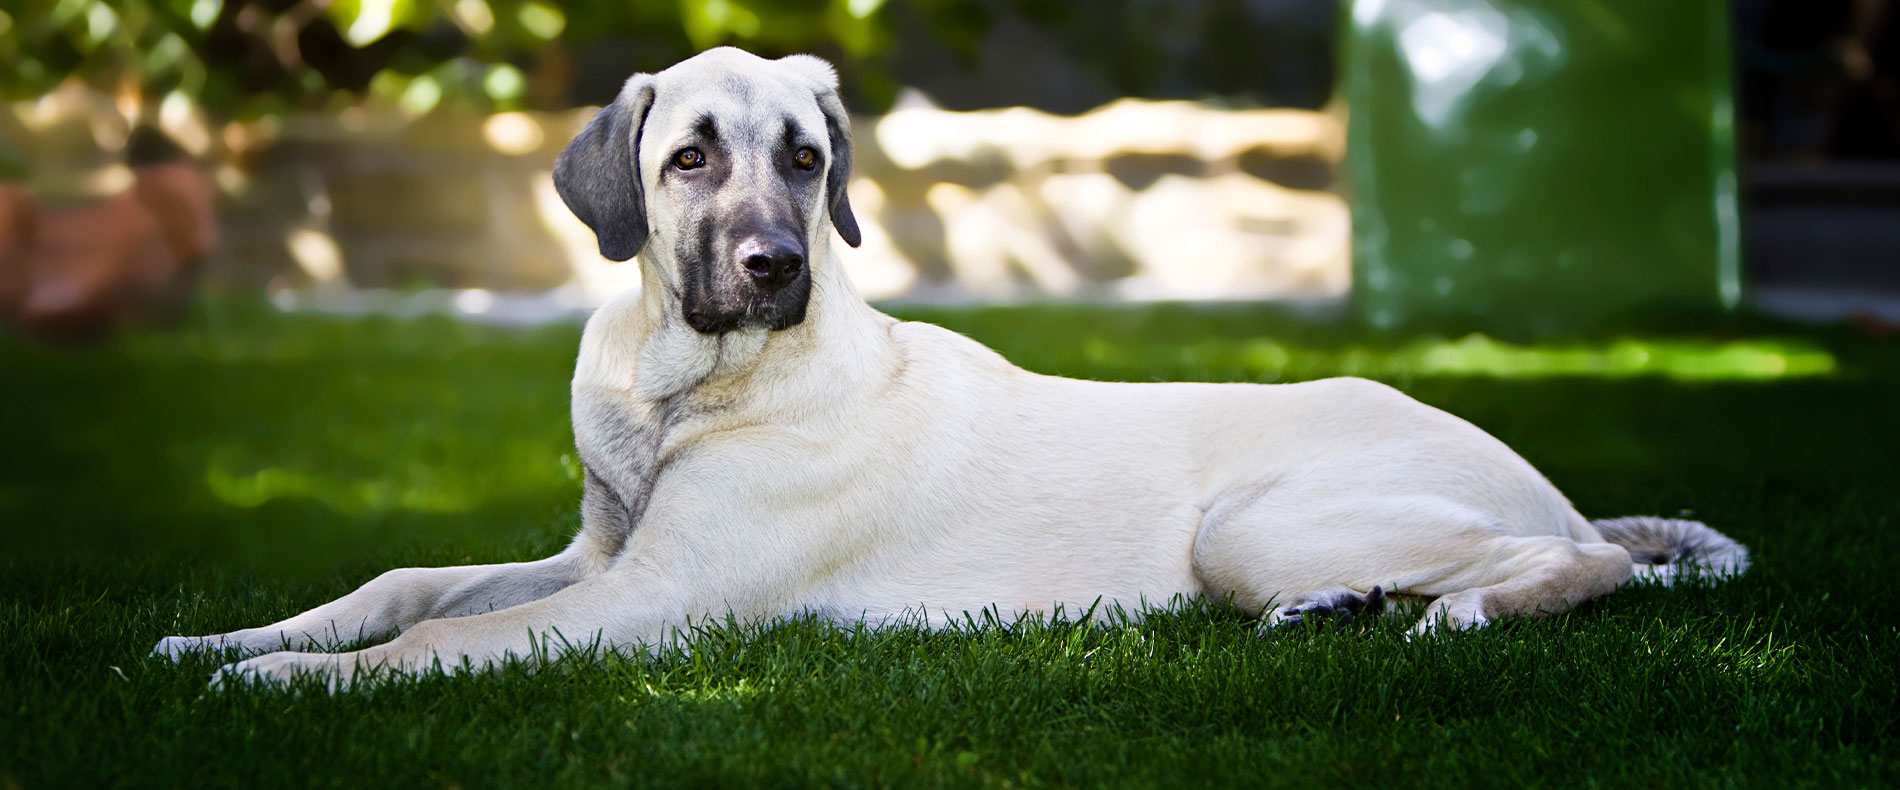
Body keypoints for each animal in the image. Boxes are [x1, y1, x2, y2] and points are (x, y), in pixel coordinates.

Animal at [152, 47, 1748, 683]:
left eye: (806, 159)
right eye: (690, 159)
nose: (773, 267)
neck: (692, 383)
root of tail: (1548, 484)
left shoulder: (648, 600)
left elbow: (431, 643)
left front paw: (281, 685)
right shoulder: (596, 553)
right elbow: (402, 584)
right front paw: (223, 641)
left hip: (1257, 523)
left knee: (1587, 570)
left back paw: (1452, 613)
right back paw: (1339, 611)